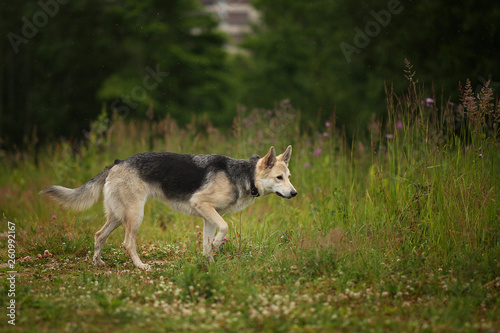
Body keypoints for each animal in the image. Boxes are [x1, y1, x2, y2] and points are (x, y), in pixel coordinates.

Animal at [41, 146, 296, 270]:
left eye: (289, 177)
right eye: (279, 177)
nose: (294, 194)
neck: (245, 176)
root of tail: (117, 163)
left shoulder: (208, 217)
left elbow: (206, 243)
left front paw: (209, 263)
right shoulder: (203, 205)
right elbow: (224, 229)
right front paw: (216, 247)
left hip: (117, 216)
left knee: (98, 235)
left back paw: (98, 263)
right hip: (135, 215)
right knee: (127, 243)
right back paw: (141, 266)